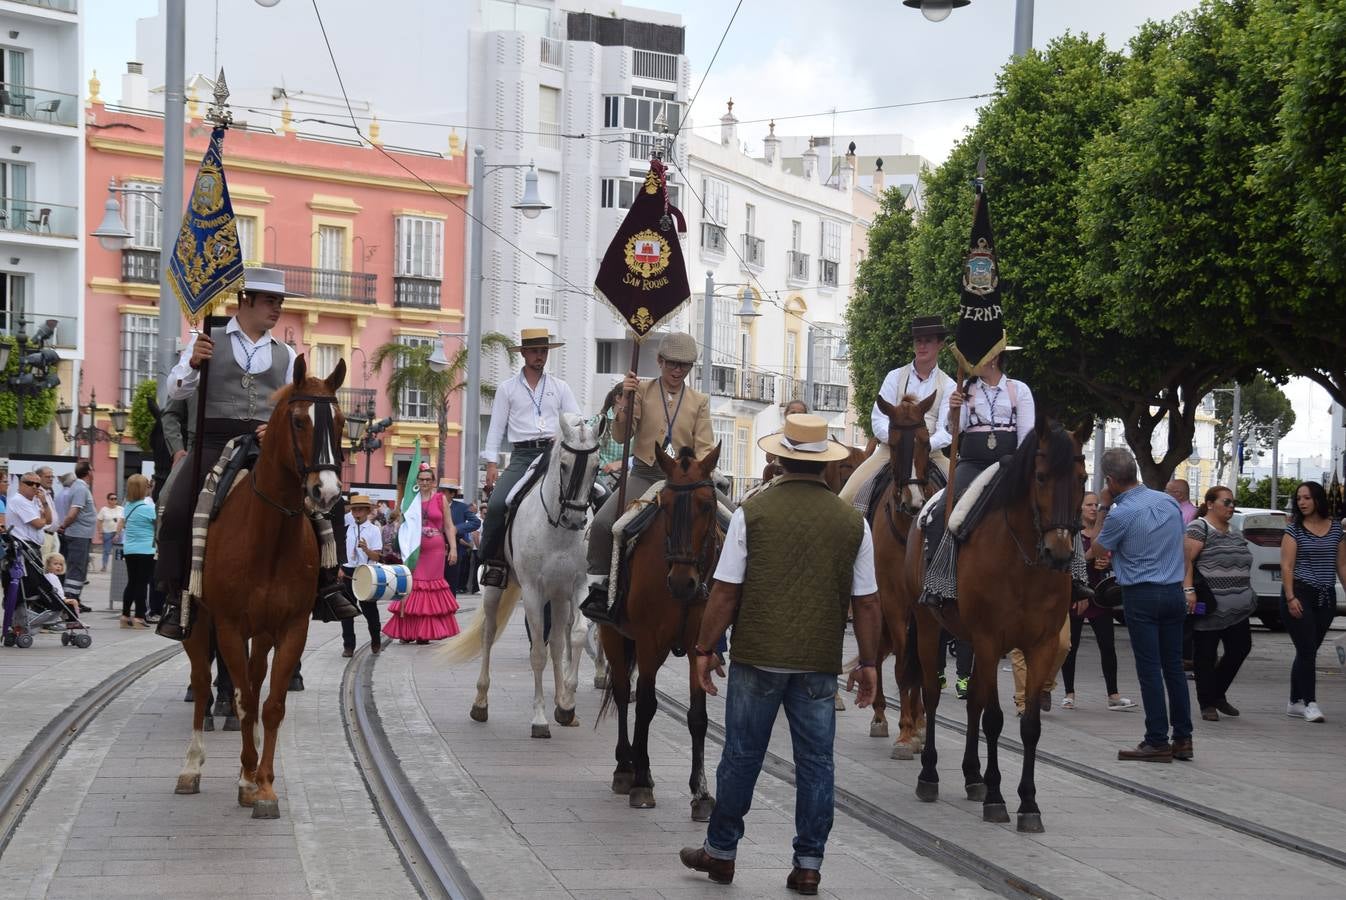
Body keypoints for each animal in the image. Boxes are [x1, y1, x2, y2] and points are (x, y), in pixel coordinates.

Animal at [173, 355, 347, 817]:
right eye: (300, 421)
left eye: (342, 422)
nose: (326, 492)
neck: (268, 538)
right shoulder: (230, 627)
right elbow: (245, 700)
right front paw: (250, 778)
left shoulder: (291, 628)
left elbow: (270, 705)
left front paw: (262, 784)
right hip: (199, 624)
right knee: (202, 684)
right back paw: (192, 767)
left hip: (263, 632)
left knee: (251, 681)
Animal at [441, 414, 605, 737]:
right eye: (564, 465)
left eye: (596, 467)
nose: (576, 519)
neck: (557, 529)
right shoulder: (532, 591)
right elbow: (538, 652)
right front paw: (539, 718)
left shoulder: (578, 586)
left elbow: (577, 636)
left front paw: (567, 703)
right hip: (496, 590)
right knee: (488, 633)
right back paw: (480, 703)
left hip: (558, 596)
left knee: (558, 642)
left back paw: (561, 702)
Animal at [600, 441, 721, 823]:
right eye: (663, 505)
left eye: (707, 504)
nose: (683, 583)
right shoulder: (649, 641)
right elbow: (646, 704)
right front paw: (641, 782)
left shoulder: (699, 646)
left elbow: (698, 717)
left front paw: (701, 792)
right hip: (614, 635)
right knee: (623, 693)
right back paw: (626, 767)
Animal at [909, 414, 1087, 834]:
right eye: (1040, 476)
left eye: (1084, 477)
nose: (1059, 552)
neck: (1025, 563)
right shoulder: (991, 640)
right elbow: (993, 718)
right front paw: (996, 797)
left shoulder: (1040, 645)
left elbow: (1029, 725)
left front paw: (1028, 803)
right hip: (928, 627)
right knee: (932, 693)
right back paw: (930, 774)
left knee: (973, 699)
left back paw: (972, 776)